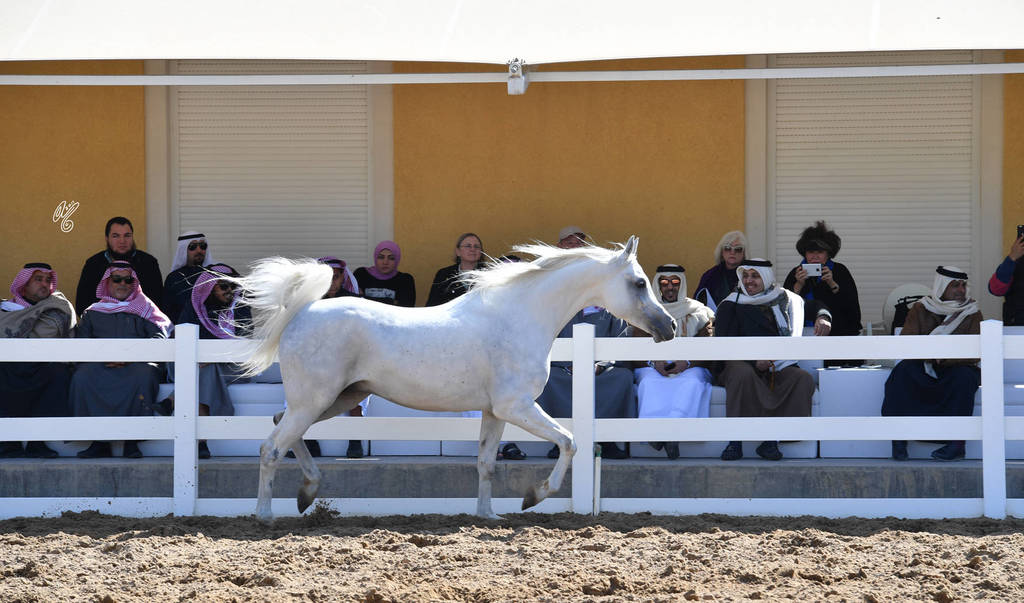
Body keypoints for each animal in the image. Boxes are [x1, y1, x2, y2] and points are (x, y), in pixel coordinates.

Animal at [238, 235, 675, 523]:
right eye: (639, 282)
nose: (668, 327)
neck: (519, 317)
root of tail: (301, 313)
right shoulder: (516, 407)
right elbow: (569, 442)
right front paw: (532, 498)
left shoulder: (495, 412)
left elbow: (486, 463)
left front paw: (488, 515)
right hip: (316, 401)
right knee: (271, 447)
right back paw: (264, 515)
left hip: (335, 400)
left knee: (281, 429)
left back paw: (306, 494)